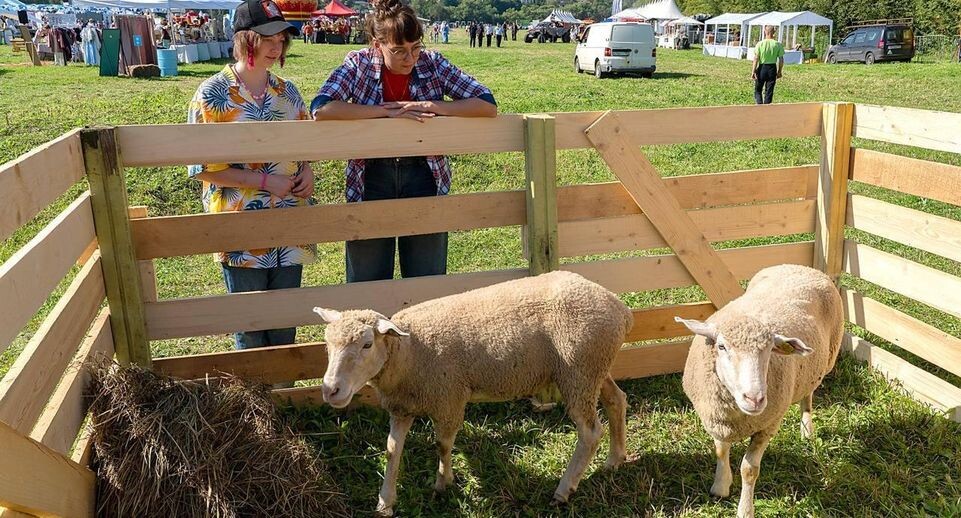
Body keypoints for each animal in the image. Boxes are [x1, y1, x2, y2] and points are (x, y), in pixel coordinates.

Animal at [312, 270, 632, 516]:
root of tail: (619, 307)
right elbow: (392, 450)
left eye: (367, 344)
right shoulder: (402, 407)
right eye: (327, 343)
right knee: (616, 400)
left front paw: (443, 483)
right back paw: (615, 460)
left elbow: (442, 444)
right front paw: (385, 502)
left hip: (578, 371)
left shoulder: (448, 398)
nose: (331, 390)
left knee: (590, 432)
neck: (410, 351)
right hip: (594, 367)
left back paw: (564, 489)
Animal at [676, 266, 840, 518]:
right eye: (721, 346)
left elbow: (749, 469)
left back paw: (806, 430)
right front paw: (720, 486)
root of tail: (800, 267)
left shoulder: (768, 425)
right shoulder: (718, 420)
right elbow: (720, 451)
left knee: (808, 396)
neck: (736, 415)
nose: (754, 399)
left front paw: (745, 509)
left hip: (821, 365)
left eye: (771, 349)